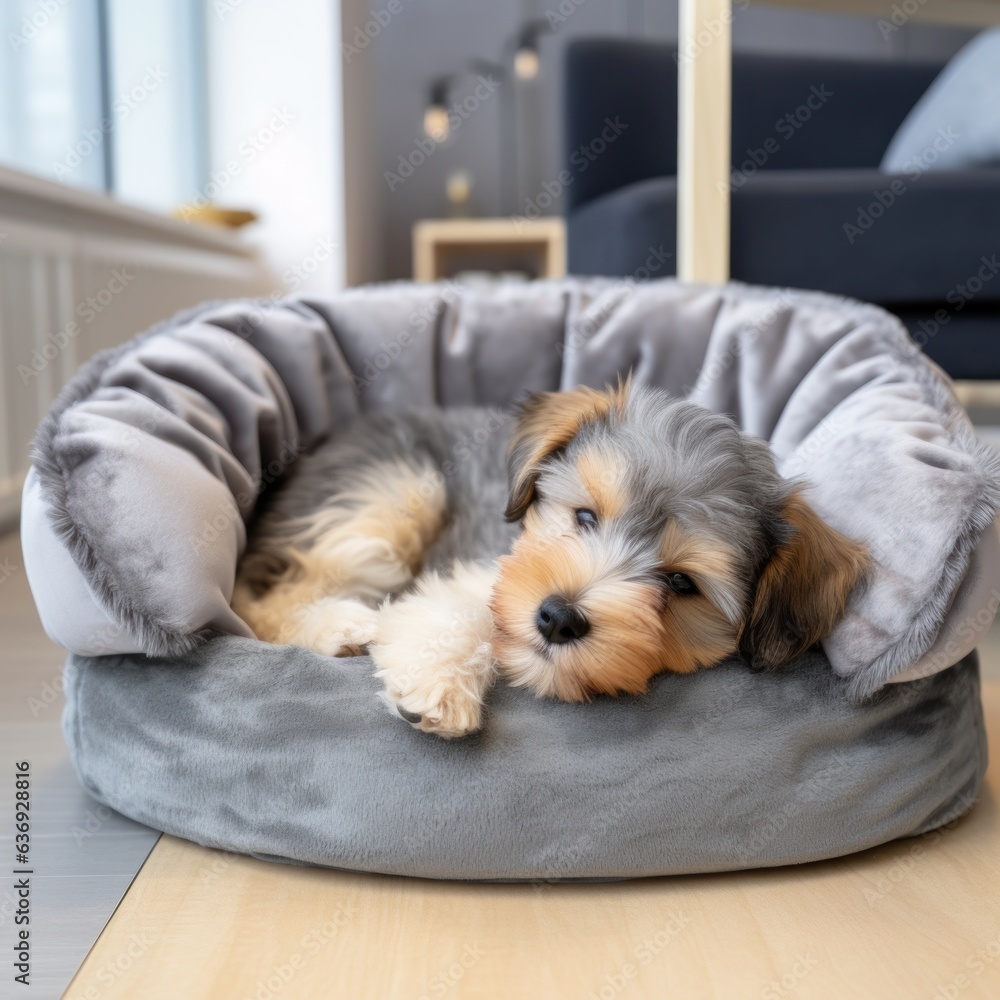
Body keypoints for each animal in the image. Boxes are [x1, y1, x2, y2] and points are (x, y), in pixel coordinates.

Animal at [229, 382, 868, 744]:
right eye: (584, 516)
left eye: (681, 581)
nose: (559, 618)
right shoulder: (491, 570)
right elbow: (457, 608)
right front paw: (438, 680)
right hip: (395, 494)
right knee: (261, 599)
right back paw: (343, 626)